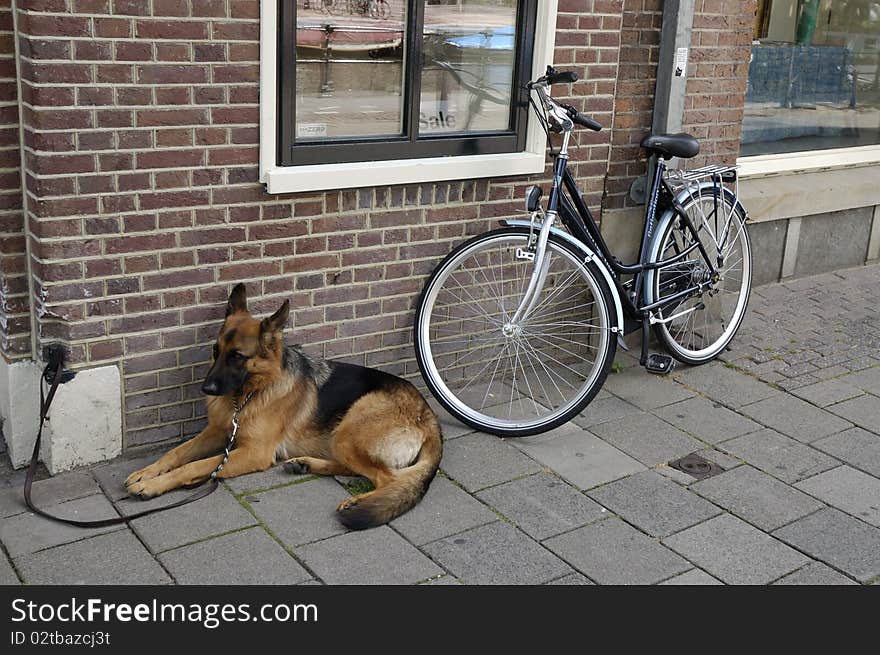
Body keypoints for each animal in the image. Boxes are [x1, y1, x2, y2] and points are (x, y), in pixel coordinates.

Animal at [124, 284, 440, 532]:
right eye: (216, 351)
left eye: (237, 356)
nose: (207, 390)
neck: (250, 394)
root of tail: (429, 417)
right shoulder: (217, 432)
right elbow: (177, 453)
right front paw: (146, 473)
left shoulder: (253, 452)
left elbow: (196, 465)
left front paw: (152, 485)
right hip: (341, 438)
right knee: (358, 469)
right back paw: (305, 464)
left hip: (349, 430)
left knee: (388, 477)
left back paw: (356, 501)